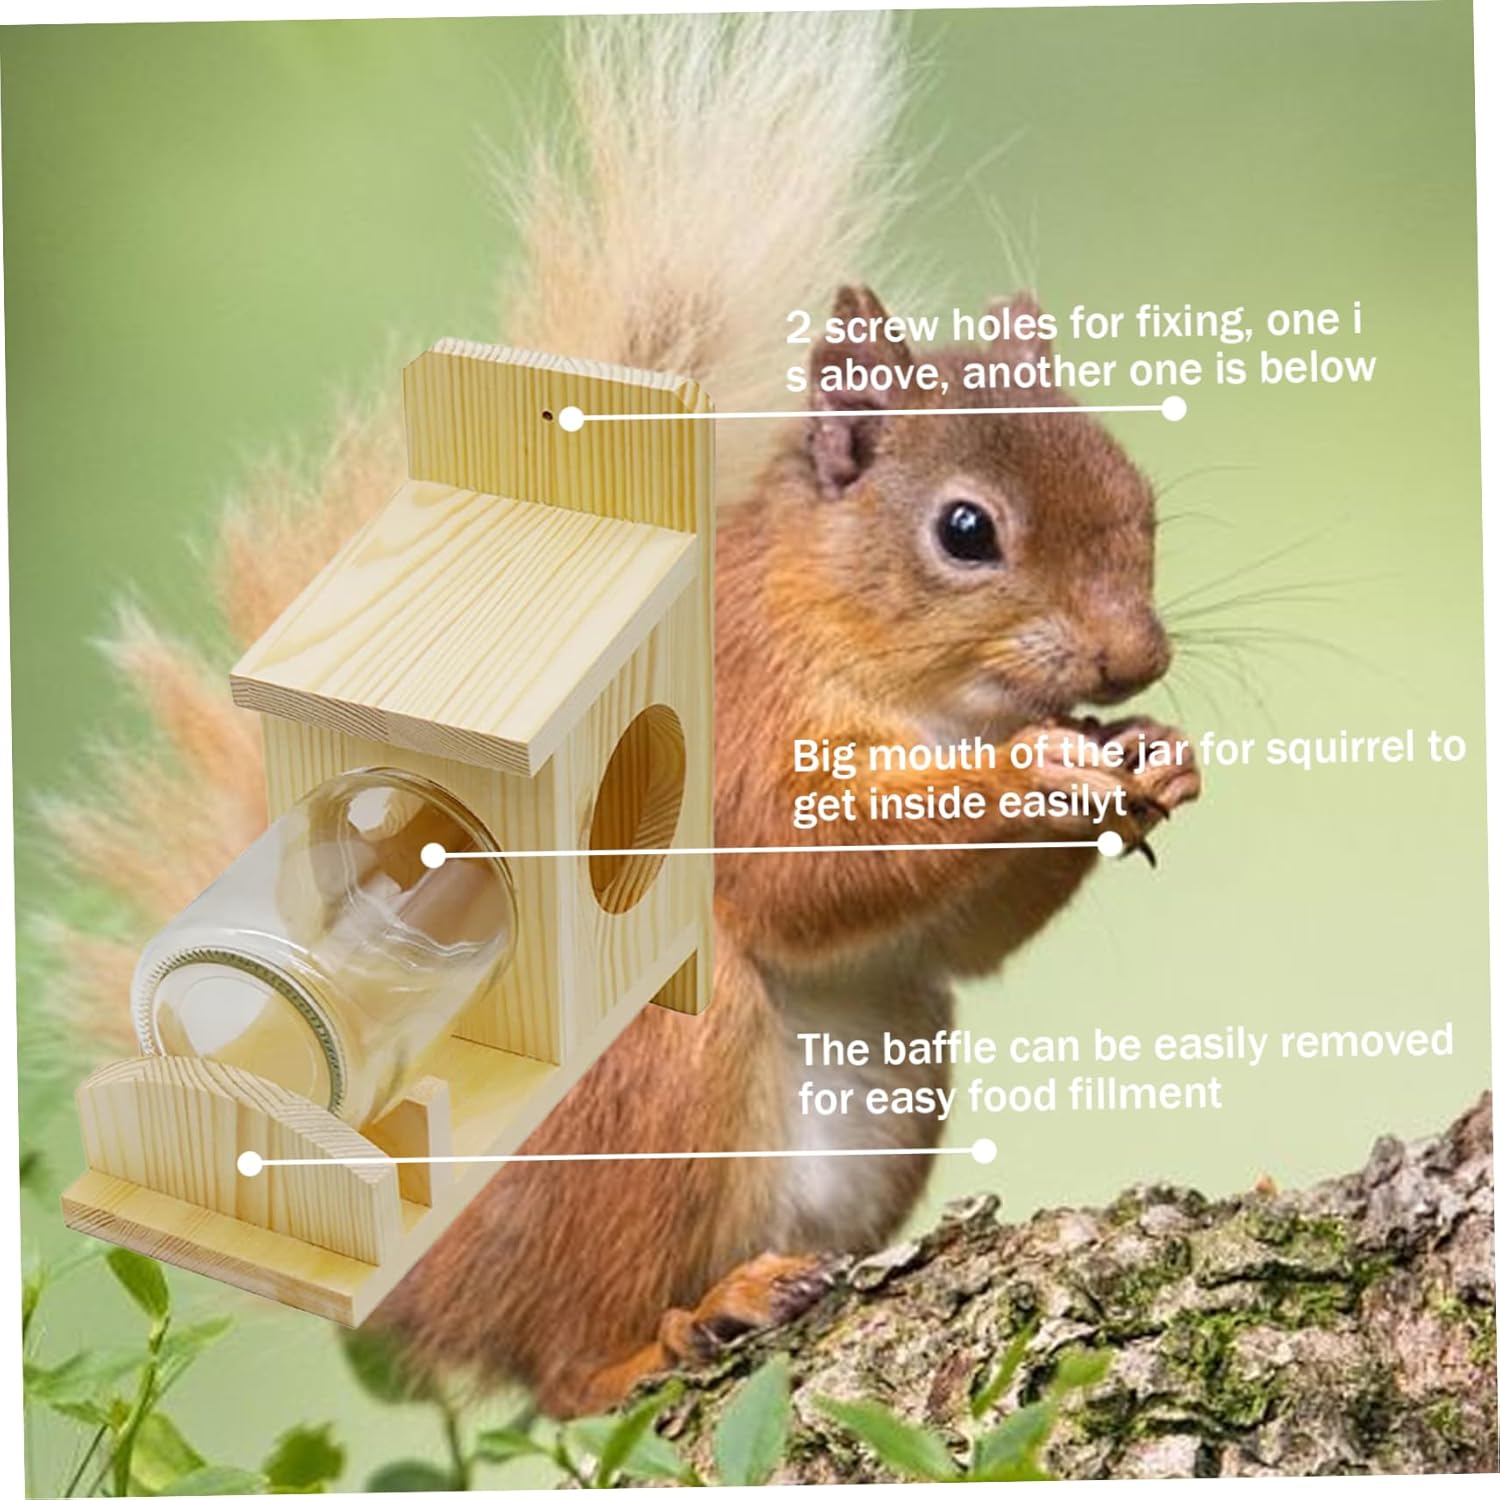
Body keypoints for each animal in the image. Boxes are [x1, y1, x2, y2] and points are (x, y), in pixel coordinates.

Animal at [47, 13, 1198, 1420]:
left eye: (1141, 498)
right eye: (966, 530)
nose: (1137, 658)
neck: (924, 692)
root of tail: (451, 1279)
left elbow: (964, 934)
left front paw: (1153, 760)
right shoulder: (745, 724)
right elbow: (800, 867)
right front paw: (1039, 769)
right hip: (657, 1085)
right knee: (565, 1371)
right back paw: (680, 1326)